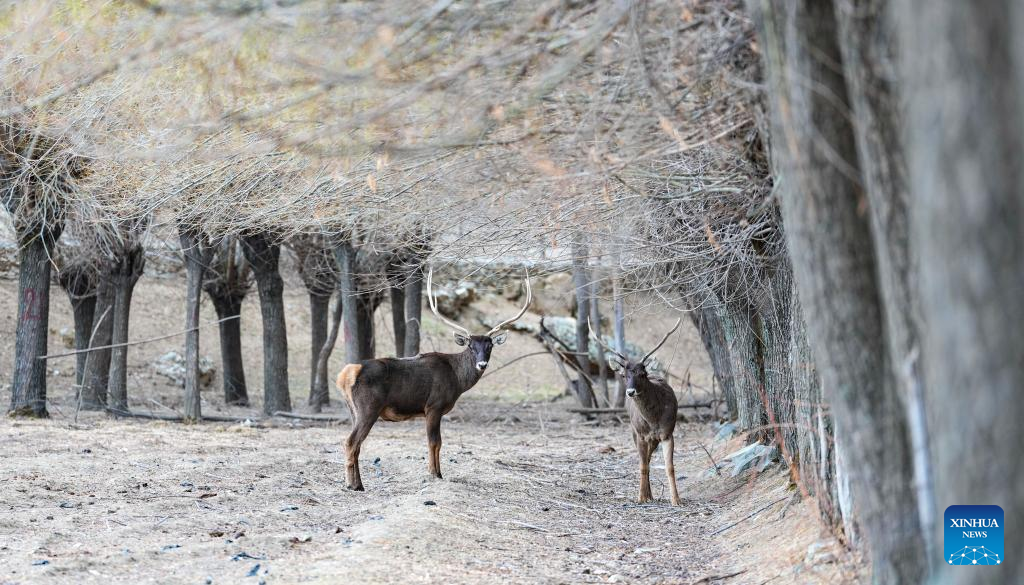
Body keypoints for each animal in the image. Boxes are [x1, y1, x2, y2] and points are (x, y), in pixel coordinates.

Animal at [335, 267, 531, 491]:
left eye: (490, 346)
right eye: (471, 346)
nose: (482, 364)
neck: (457, 380)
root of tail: (346, 374)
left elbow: (438, 442)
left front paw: (437, 473)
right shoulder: (433, 406)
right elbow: (434, 442)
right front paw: (435, 474)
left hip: (353, 410)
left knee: (355, 444)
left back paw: (357, 483)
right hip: (369, 407)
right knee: (351, 442)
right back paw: (353, 485)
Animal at [590, 318, 683, 505]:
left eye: (642, 374)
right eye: (624, 375)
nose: (630, 392)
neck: (654, 419)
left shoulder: (667, 433)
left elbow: (669, 467)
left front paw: (676, 500)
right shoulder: (640, 434)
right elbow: (642, 465)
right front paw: (640, 497)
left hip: (653, 439)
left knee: (648, 458)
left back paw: (651, 495)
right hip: (633, 430)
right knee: (644, 460)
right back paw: (647, 495)